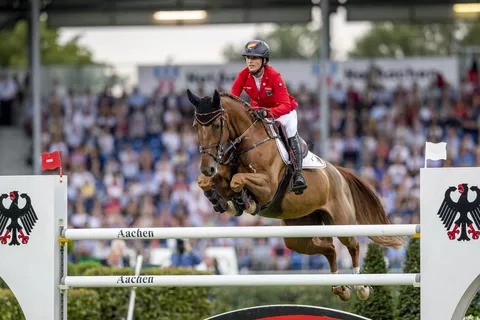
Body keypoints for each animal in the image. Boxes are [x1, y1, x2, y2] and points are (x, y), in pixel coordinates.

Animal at [188, 89, 404, 302]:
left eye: (216, 125)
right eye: (196, 126)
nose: (207, 167)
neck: (246, 143)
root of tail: (338, 172)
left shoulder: (268, 186)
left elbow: (238, 180)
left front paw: (244, 201)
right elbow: (206, 182)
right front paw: (222, 201)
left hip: (342, 223)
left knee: (353, 245)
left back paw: (361, 287)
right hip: (299, 234)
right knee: (329, 248)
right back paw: (340, 287)